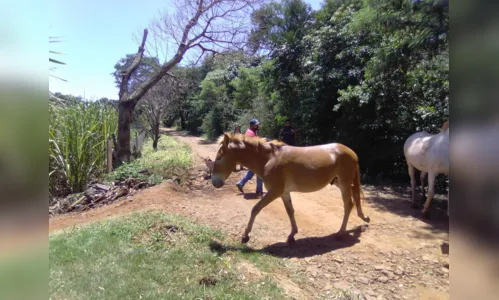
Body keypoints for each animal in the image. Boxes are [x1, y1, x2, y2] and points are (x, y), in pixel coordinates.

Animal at [211, 133, 372, 244]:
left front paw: (245, 235)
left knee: (348, 204)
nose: (214, 182)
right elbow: (290, 212)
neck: (269, 159)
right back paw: (363, 218)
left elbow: (256, 209)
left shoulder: (274, 191)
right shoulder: (284, 192)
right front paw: (292, 235)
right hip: (339, 182)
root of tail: (352, 152)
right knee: (353, 201)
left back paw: (340, 233)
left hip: (344, 184)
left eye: (219, 157)